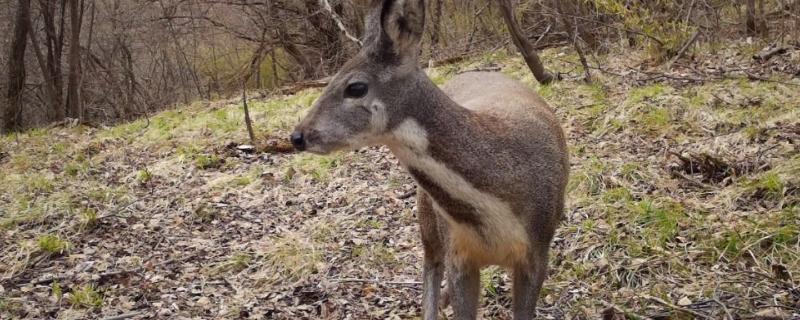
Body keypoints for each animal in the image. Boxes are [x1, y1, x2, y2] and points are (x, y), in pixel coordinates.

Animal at [288, 1, 568, 318]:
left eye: (356, 87)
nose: (298, 136)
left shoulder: (538, 251)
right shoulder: (458, 254)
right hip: (427, 216)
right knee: (430, 267)